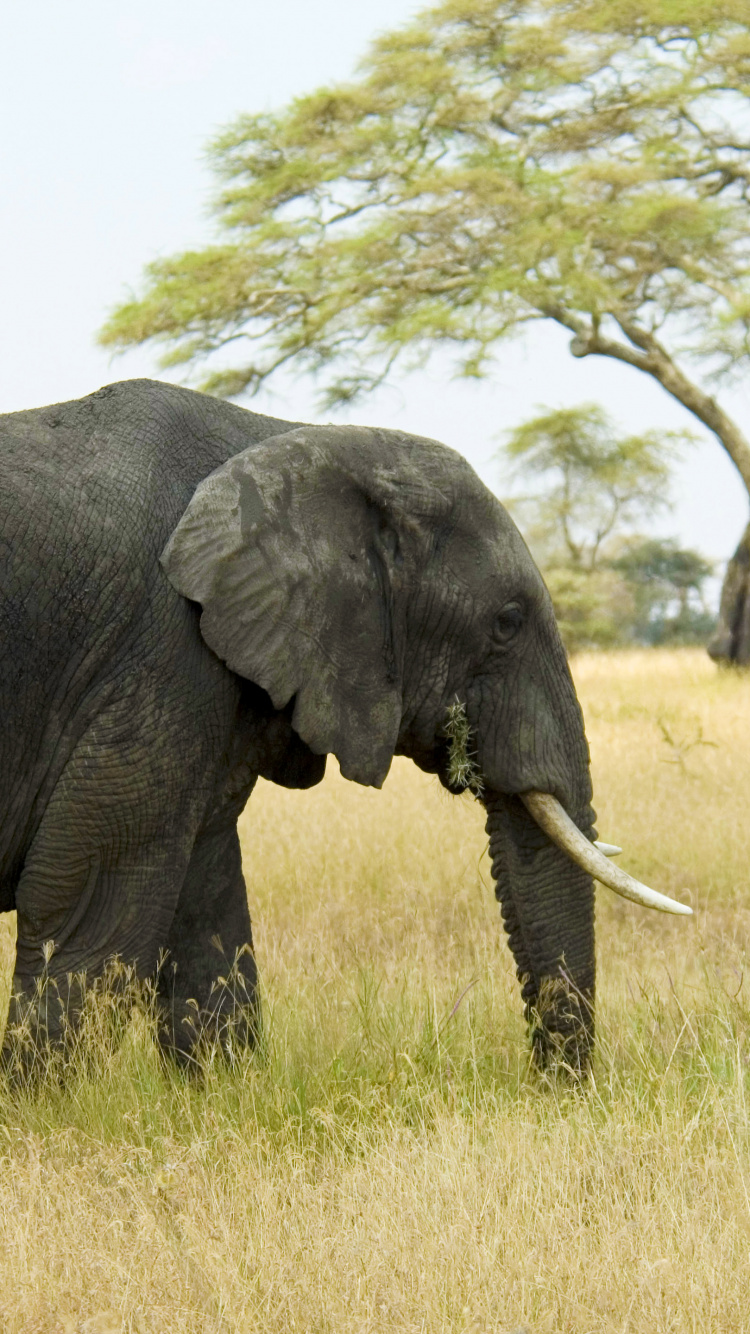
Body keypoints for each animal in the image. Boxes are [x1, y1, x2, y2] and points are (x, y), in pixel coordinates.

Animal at [0, 378, 690, 1075]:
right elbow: (92, 912)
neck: (293, 440)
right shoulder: (164, 654)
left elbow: (206, 911)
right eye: (507, 622)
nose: (553, 1087)